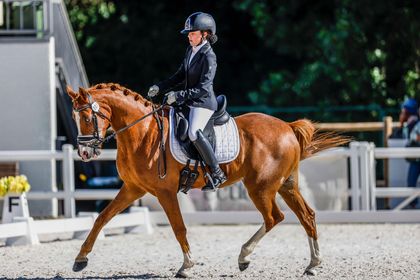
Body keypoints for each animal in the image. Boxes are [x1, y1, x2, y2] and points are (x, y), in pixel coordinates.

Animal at [68, 83, 348, 278]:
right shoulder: (133, 188)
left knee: (274, 217)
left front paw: (186, 266)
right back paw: (312, 264)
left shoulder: (165, 192)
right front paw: (80, 259)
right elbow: (102, 218)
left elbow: (178, 227)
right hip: (285, 185)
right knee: (306, 216)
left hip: (261, 187)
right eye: (74, 118)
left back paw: (244, 257)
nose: (84, 153)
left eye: (87, 118)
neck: (143, 132)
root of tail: (288, 127)